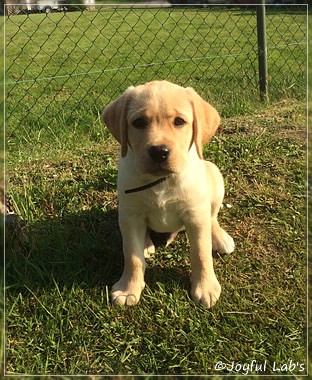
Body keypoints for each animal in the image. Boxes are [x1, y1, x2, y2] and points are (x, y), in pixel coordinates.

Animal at [102, 80, 234, 308]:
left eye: (179, 122)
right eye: (138, 122)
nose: (159, 152)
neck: (162, 181)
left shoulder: (195, 215)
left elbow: (201, 252)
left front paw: (205, 287)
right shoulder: (130, 216)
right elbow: (132, 255)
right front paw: (129, 288)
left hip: (215, 175)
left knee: (212, 217)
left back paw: (220, 237)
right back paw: (146, 244)